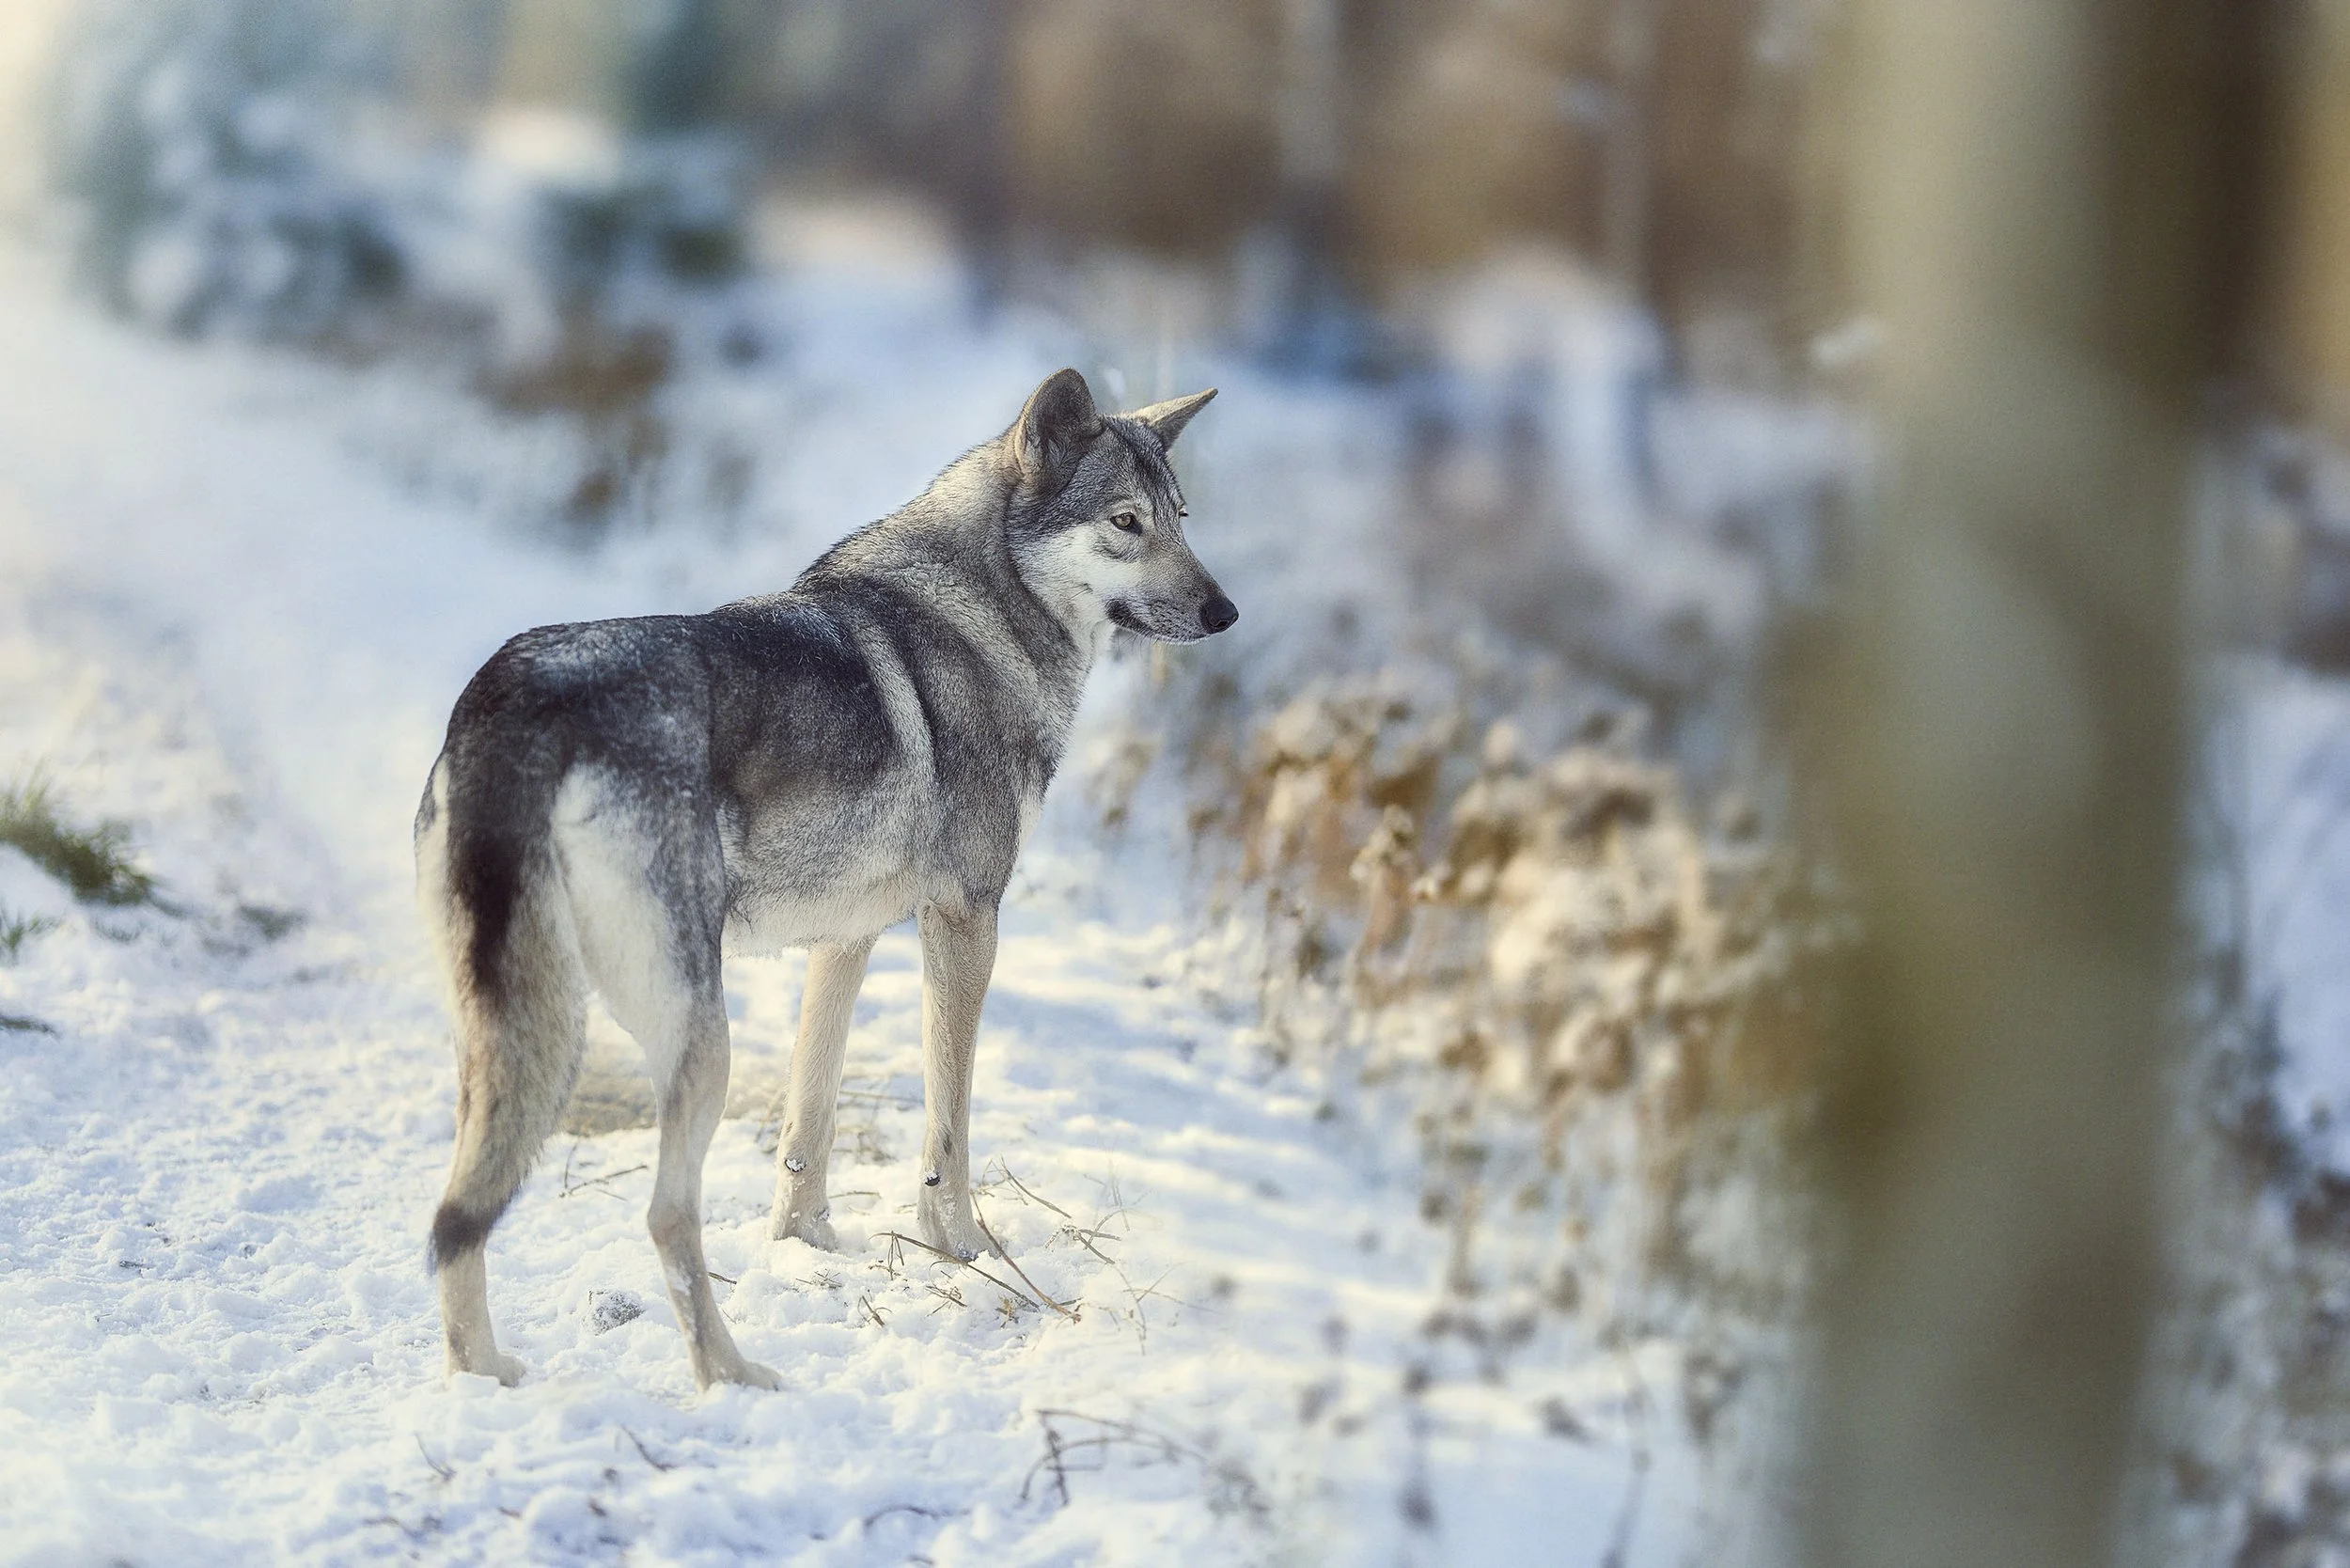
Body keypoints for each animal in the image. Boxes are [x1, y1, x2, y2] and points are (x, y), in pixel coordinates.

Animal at [413, 369, 1232, 1389]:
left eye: (1182, 518)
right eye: (1126, 522)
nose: (1225, 613)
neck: (983, 617)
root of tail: (518, 698)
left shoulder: (846, 941)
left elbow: (809, 1126)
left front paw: (809, 1250)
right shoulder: (965, 922)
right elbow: (949, 1128)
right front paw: (963, 1254)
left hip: (508, 1040)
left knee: (453, 1219)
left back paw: (486, 1380)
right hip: (691, 1037)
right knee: (663, 1215)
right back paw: (735, 1380)